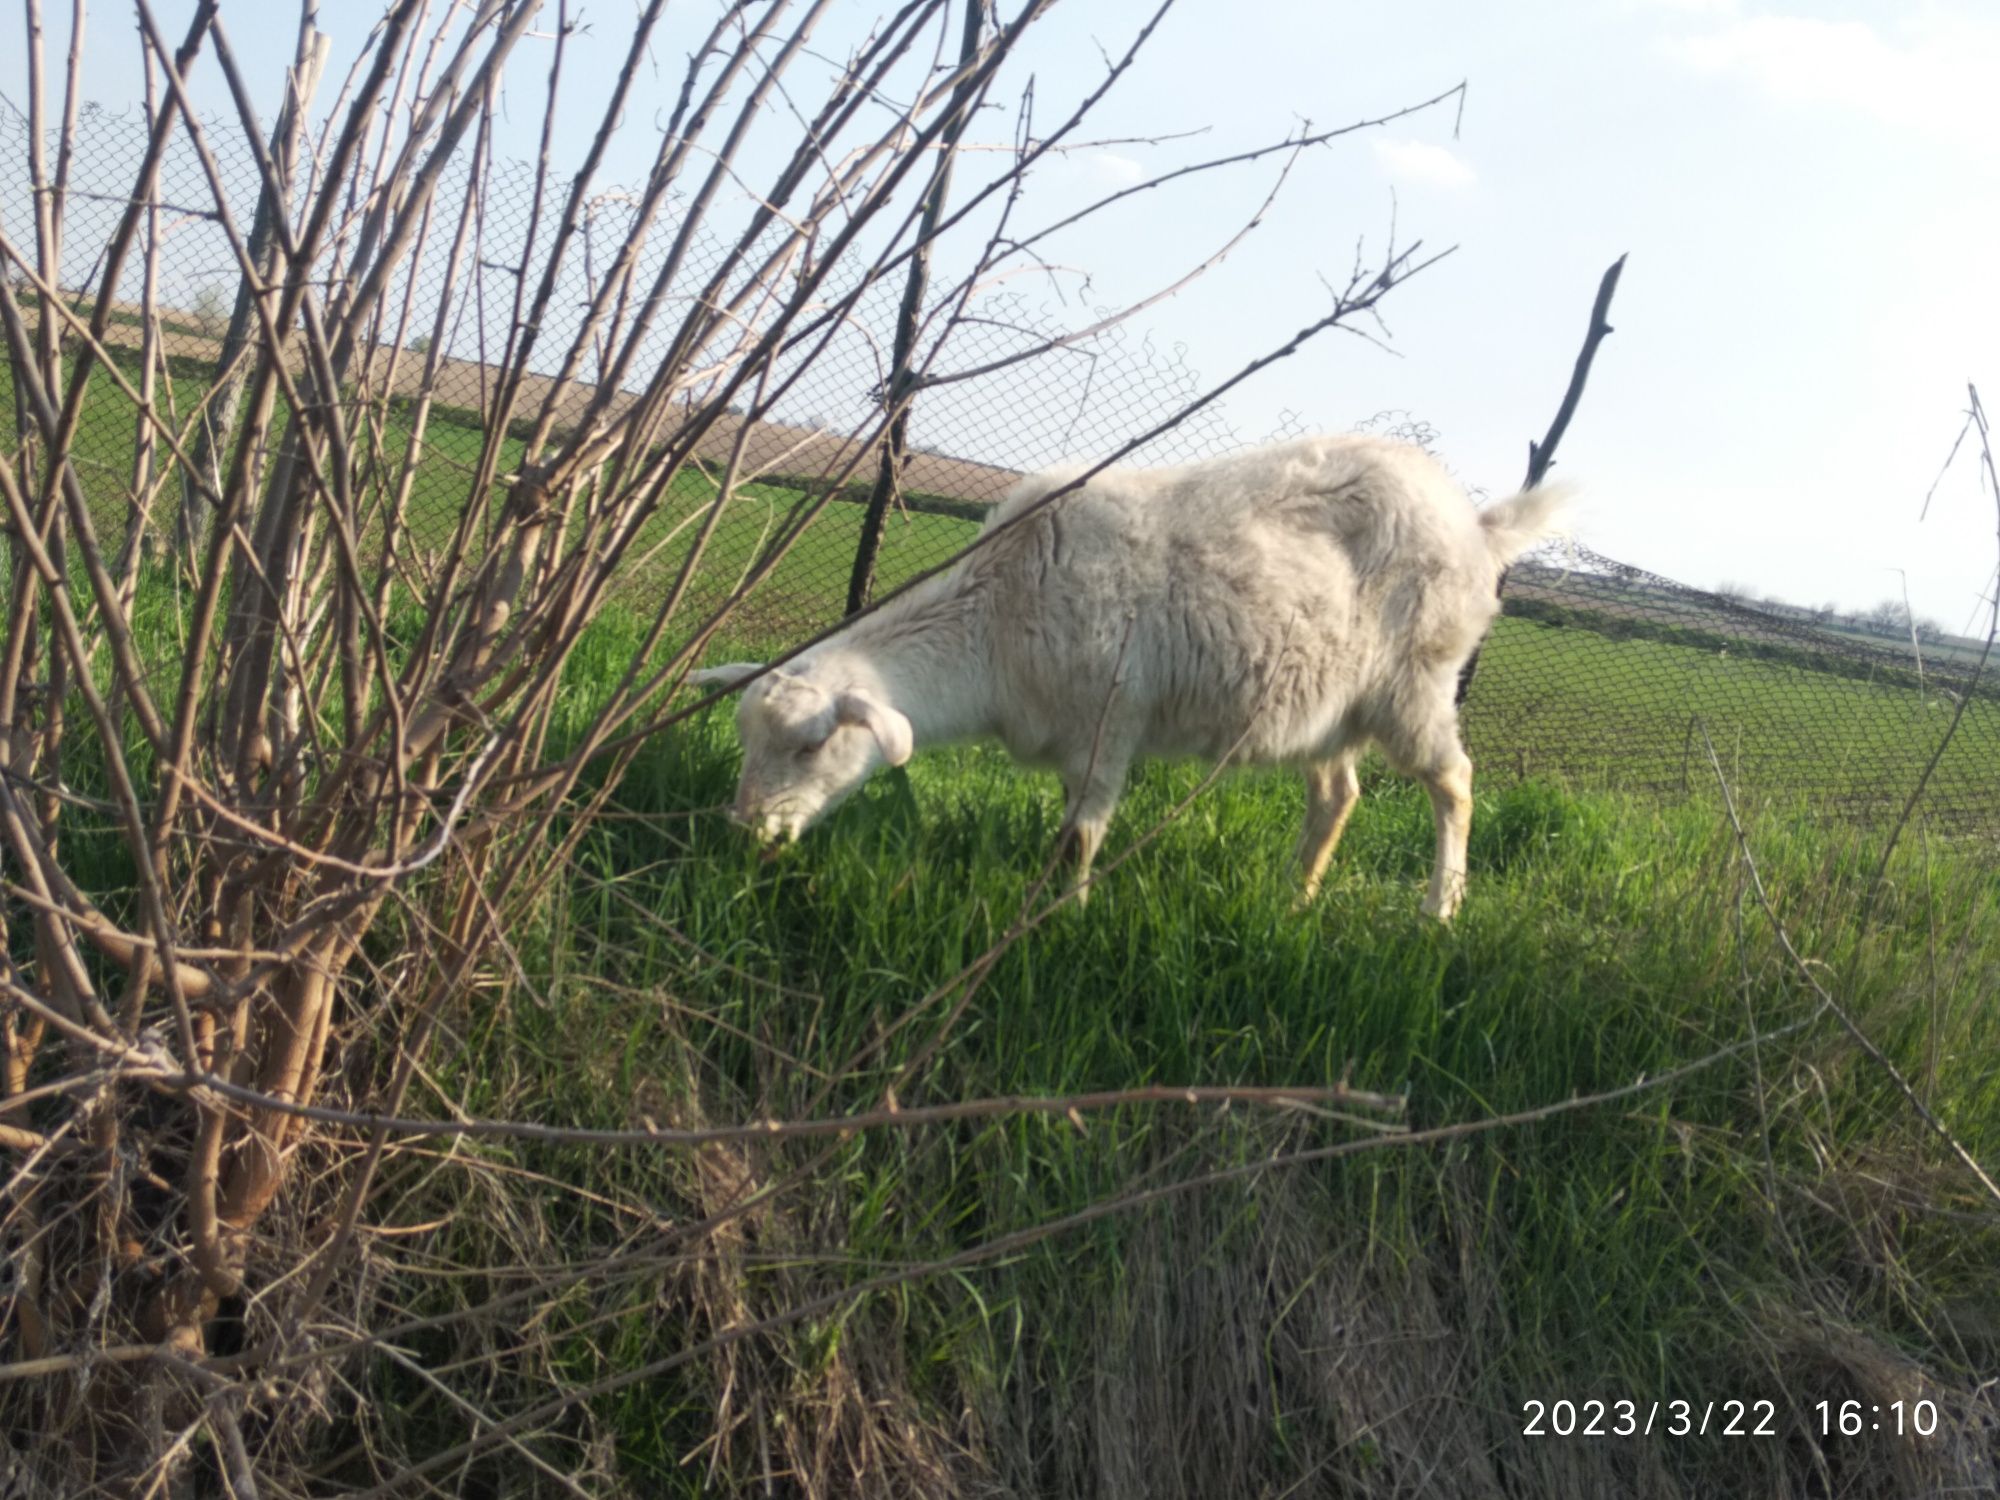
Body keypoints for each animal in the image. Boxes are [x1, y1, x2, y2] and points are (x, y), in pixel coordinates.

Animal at [696, 434, 1568, 924]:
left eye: (812, 745)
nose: (745, 830)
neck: (997, 615)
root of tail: (1479, 527)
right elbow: (1067, 832)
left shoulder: (1107, 722)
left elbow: (1077, 839)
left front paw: (1065, 921)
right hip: (1329, 702)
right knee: (1338, 794)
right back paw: (1295, 897)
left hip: (1418, 682)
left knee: (1454, 782)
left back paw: (1438, 910)